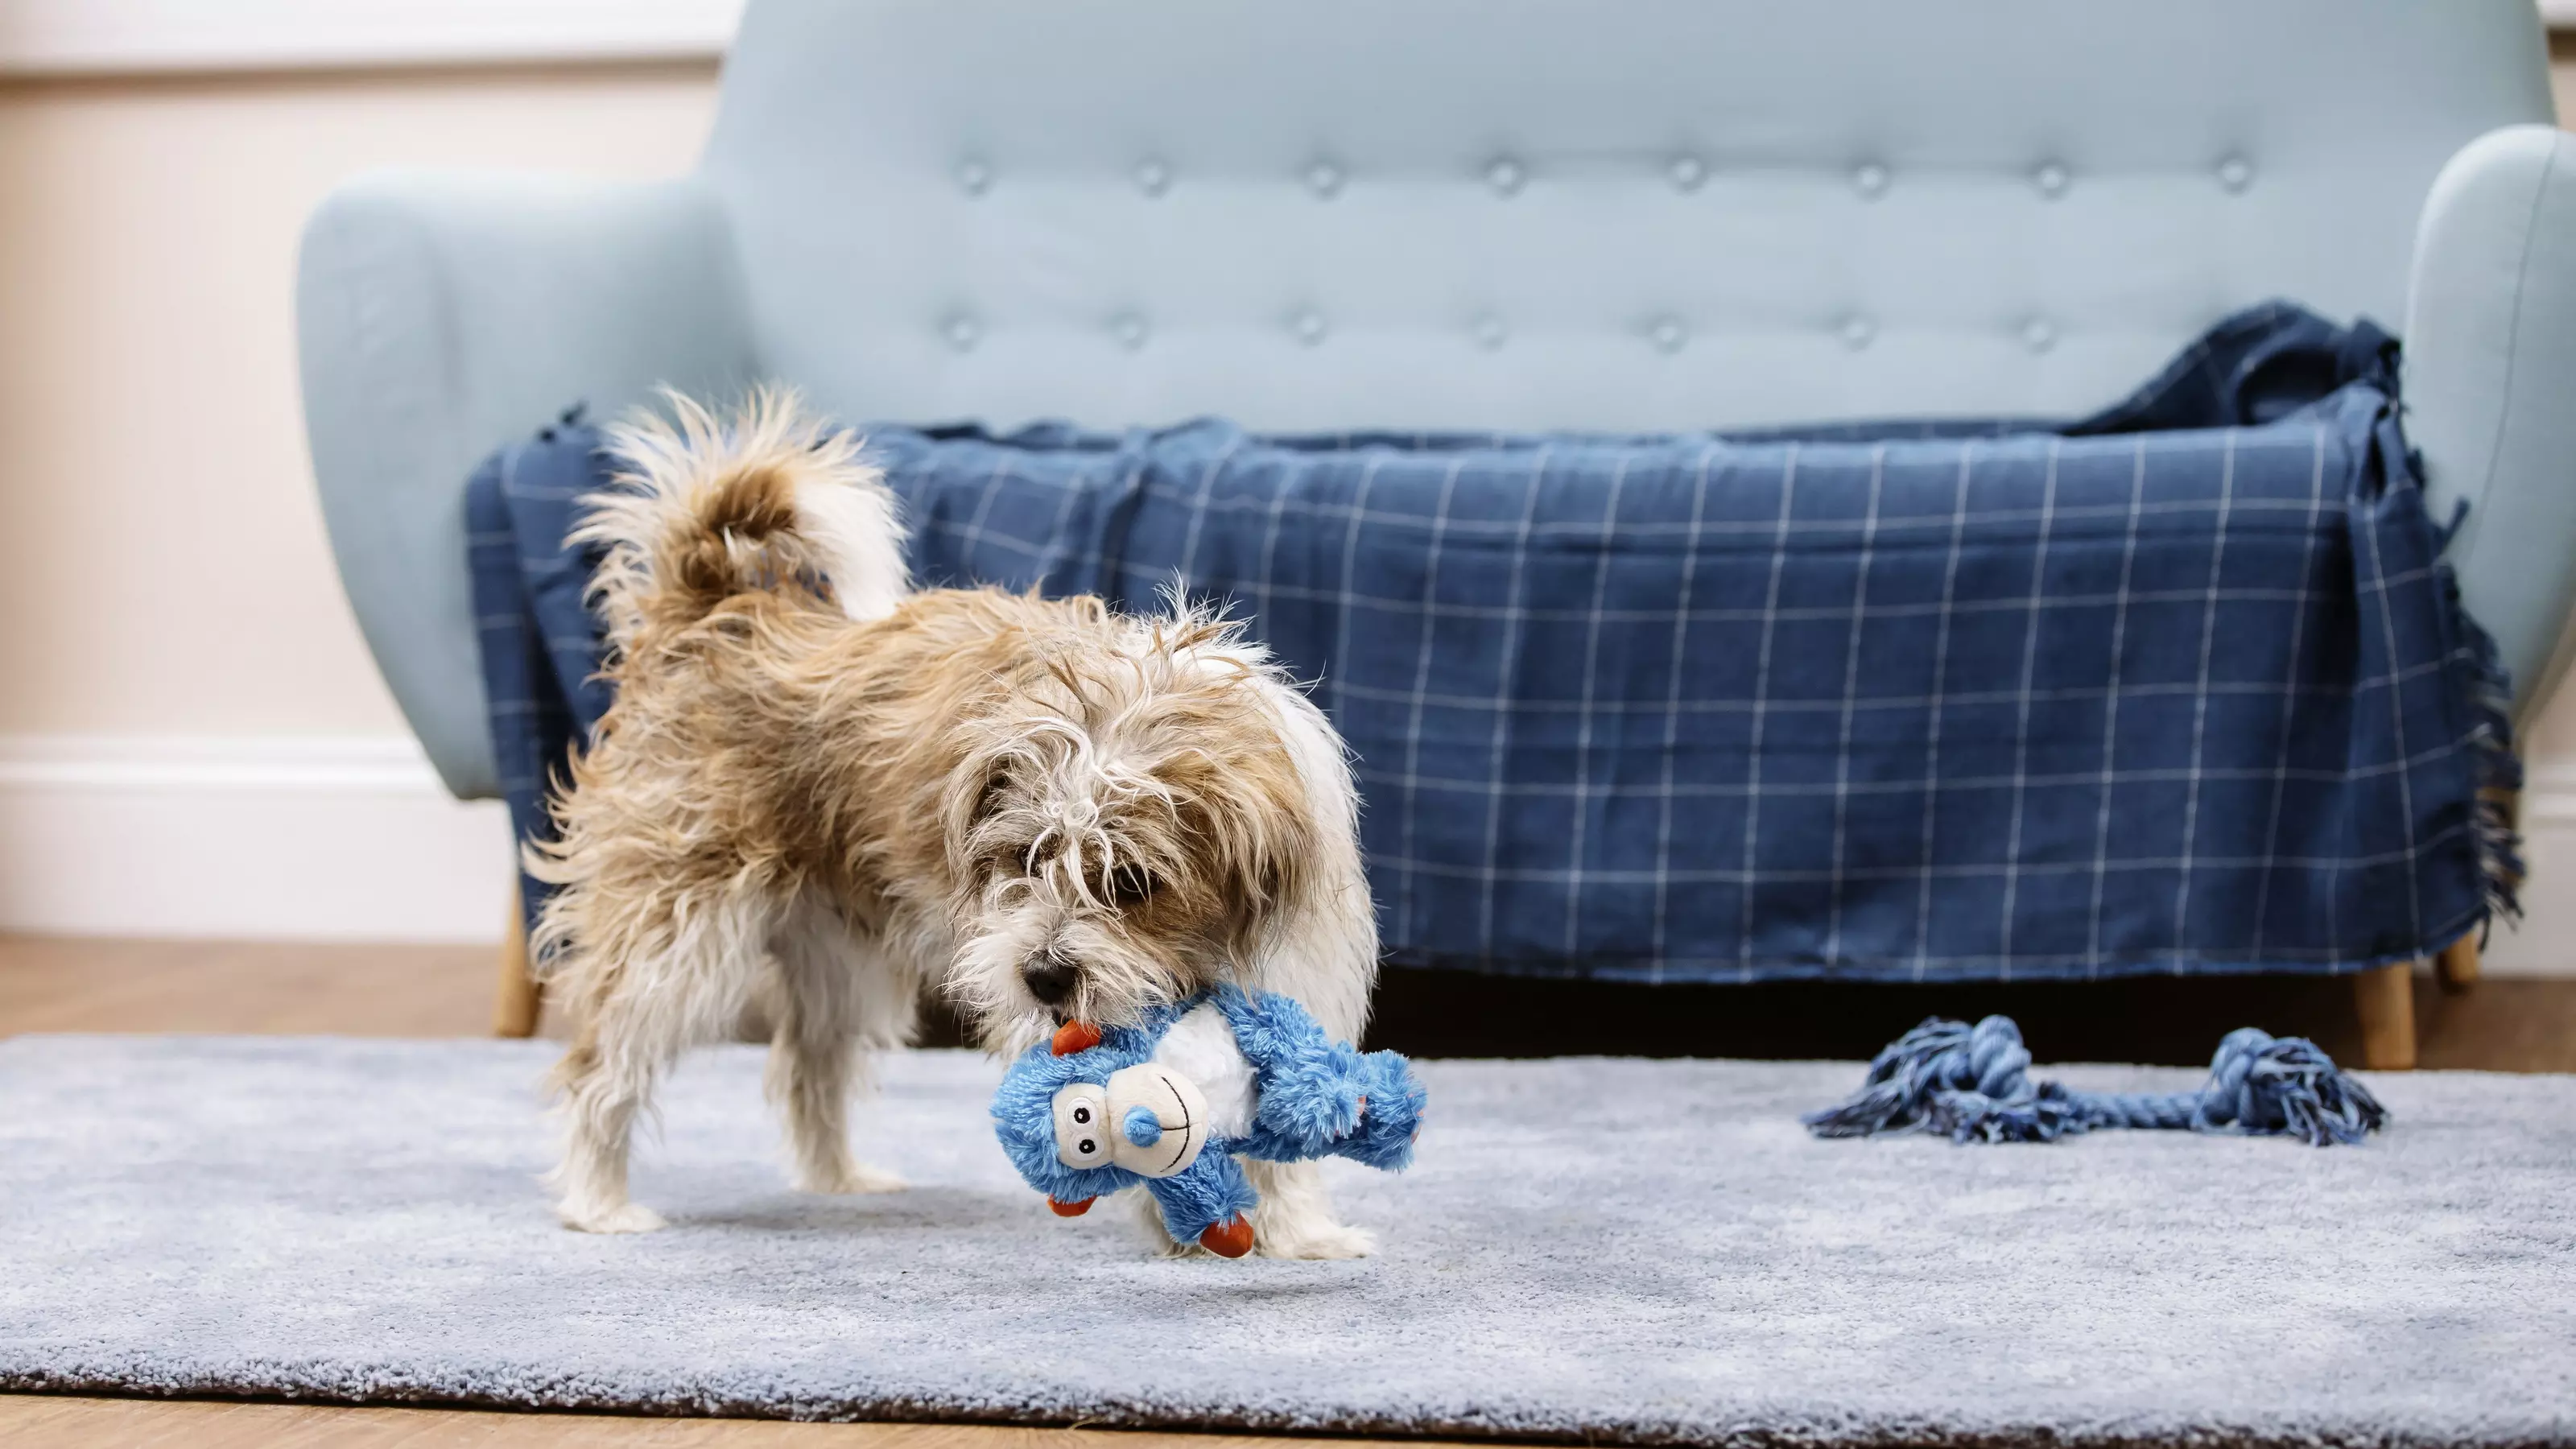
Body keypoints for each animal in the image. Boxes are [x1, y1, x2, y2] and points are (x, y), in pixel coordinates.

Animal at [528, 391, 1391, 1253]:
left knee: (811, 1067)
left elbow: (1277, 1137)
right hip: (674, 930)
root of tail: (715, 609)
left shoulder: (1290, 979)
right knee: (602, 1068)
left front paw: (1298, 1233)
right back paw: (599, 1203)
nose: (1044, 977)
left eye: (1132, 882)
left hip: (840, 954)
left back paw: (841, 1180)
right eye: (1025, 860)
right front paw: (1192, 1222)